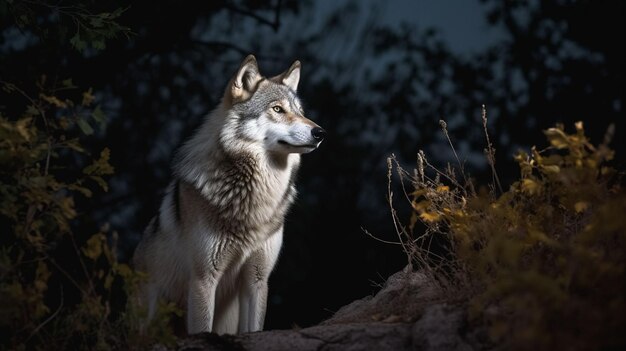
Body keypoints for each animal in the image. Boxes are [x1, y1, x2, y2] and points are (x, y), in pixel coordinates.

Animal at [133, 55, 326, 336]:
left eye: (300, 112)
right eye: (277, 109)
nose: (320, 133)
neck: (254, 201)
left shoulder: (257, 280)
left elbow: (254, 329)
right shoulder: (204, 279)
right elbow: (202, 329)